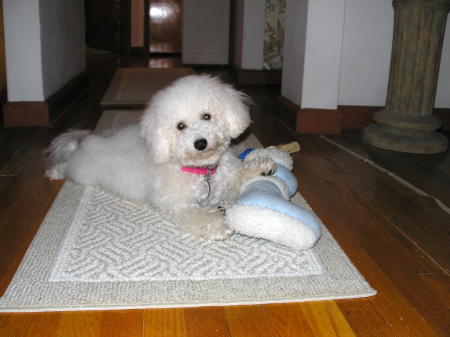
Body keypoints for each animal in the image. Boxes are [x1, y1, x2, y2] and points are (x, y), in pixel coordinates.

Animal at [47, 75, 276, 240]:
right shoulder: (180, 204)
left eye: (207, 116)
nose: (200, 143)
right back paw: (54, 171)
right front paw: (219, 225)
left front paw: (261, 165)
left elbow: (239, 174)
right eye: (180, 126)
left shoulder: (225, 180)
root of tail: (86, 142)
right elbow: (198, 216)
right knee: (67, 166)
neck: (202, 171)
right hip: (82, 172)